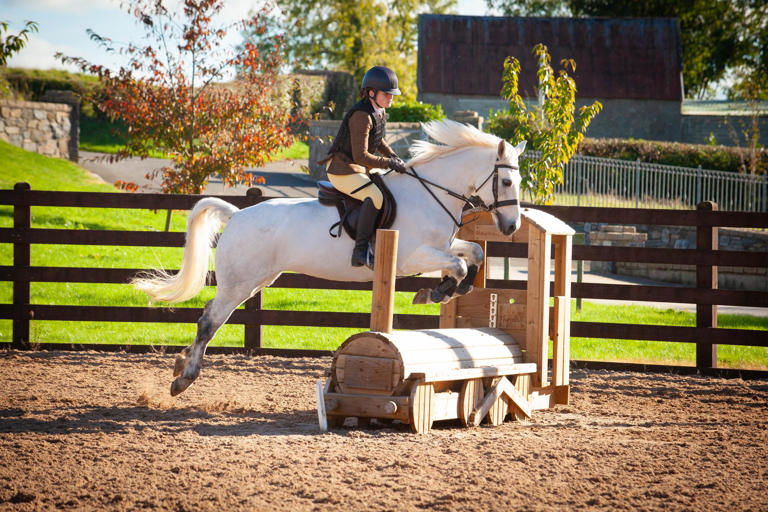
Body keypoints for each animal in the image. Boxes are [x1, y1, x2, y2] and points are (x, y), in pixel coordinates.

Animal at [132, 119, 526, 396]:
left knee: (209, 318)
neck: (431, 194)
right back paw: (184, 377)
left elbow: (472, 253)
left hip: (256, 281)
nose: (511, 226)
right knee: (209, 322)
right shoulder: (411, 257)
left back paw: (180, 364)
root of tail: (237, 214)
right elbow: (457, 264)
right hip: (238, 284)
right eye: (507, 183)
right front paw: (436, 292)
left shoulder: (442, 246)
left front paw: (450, 289)